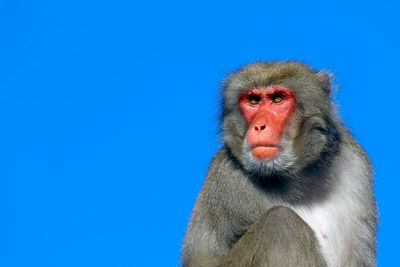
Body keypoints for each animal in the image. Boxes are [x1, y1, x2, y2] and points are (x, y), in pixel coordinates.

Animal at [180, 61, 376, 266]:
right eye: (253, 101)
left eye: (278, 99)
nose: (259, 126)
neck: (296, 179)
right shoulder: (227, 178)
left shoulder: (355, 164)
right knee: (280, 221)